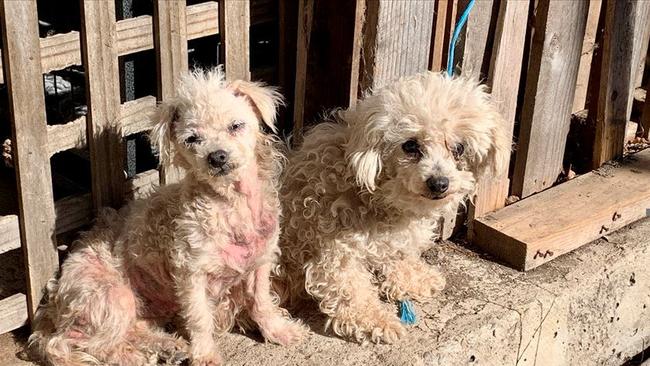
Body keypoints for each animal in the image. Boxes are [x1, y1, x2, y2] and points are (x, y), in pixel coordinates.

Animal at [27, 67, 306, 364]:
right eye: (192, 139)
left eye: (236, 126)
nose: (217, 157)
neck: (231, 204)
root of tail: (53, 304)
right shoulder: (191, 274)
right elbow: (199, 318)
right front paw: (205, 355)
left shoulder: (260, 264)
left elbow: (261, 302)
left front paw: (279, 332)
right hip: (114, 297)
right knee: (73, 344)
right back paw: (133, 356)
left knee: (130, 330)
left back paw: (168, 346)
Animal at [276, 71, 508, 344]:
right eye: (410, 145)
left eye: (459, 148)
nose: (439, 183)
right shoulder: (334, 253)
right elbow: (351, 291)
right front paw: (378, 321)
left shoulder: (392, 240)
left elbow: (398, 257)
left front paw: (415, 277)